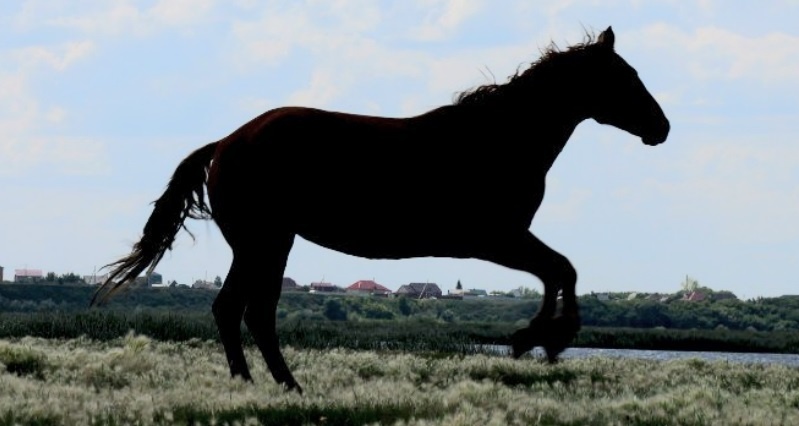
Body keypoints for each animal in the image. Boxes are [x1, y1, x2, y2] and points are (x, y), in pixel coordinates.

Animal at [92, 25, 668, 394]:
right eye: (624, 76)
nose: (661, 127)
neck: (496, 139)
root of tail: (223, 145)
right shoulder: (494, 238)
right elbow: (561, 269)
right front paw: (541, 338)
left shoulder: (502, 240)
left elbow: (558, 269)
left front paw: (538, 339)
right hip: (266, 242)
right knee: (250, 311)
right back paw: (285, 386)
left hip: (262, 244)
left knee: (234, 310)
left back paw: (258, 384)